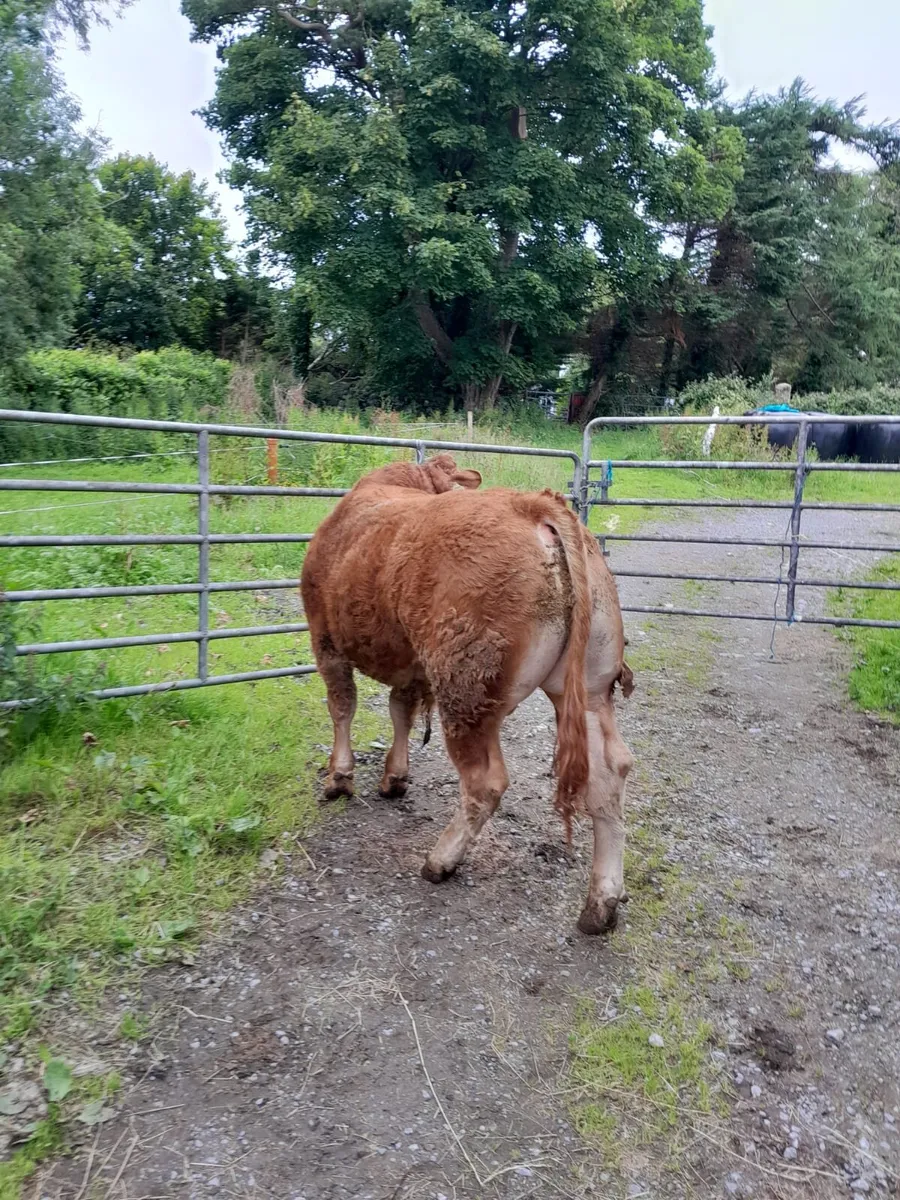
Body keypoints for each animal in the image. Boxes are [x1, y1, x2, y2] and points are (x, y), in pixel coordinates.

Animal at [300, 453, 635, 934]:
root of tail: (533, 506)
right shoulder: (412, 663)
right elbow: (399, 711)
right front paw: (394, 777)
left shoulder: (324, 638)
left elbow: (342, 705)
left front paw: (339, 778)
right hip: (590, 686)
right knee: (609, 773)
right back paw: (600, 905)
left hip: (467, 689)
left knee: (485, 782)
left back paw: (441, 860)